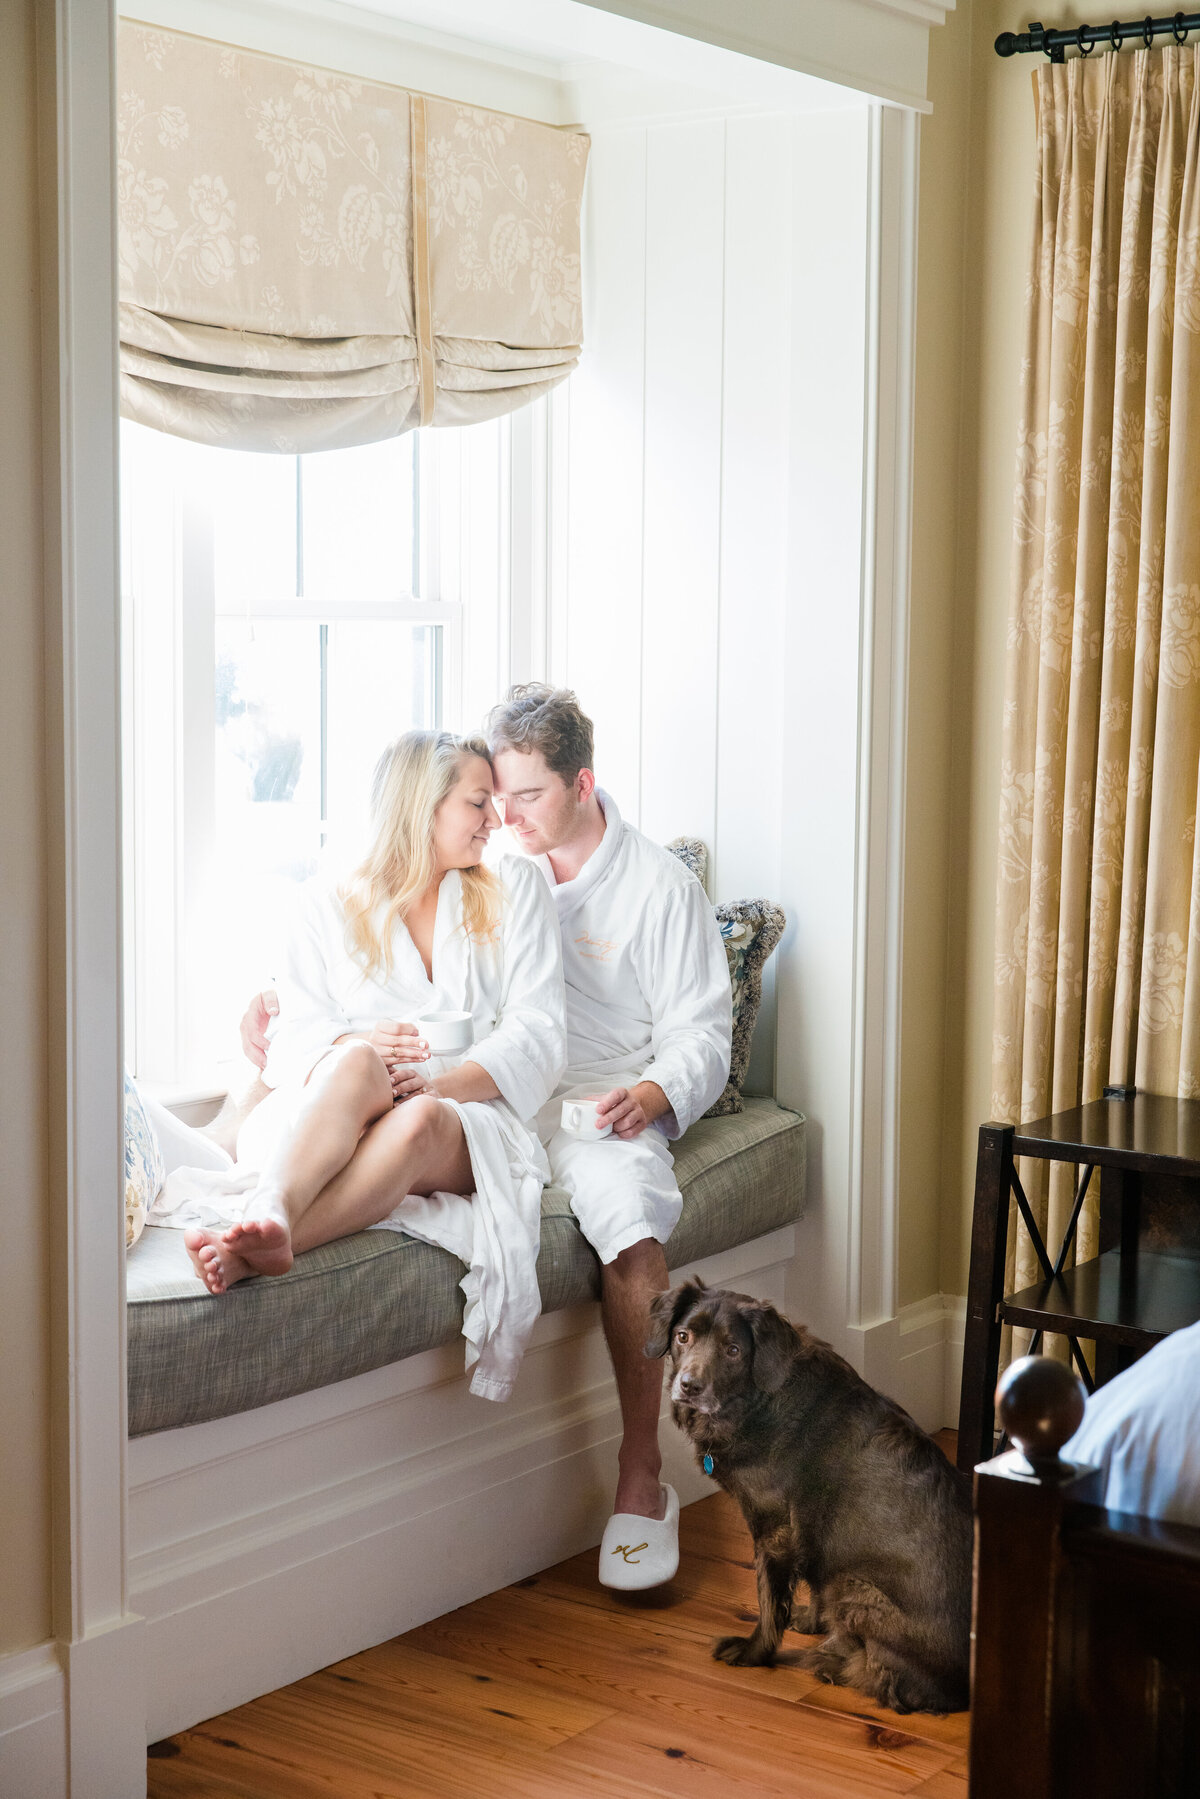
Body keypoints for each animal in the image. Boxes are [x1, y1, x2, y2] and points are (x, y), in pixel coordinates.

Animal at [647, 1280, 978, 1712]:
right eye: (683, 1336)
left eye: (732, 1350)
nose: (688, 1386)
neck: (760, 1400)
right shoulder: (813, 1534)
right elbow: (811, 1581)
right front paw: (811, 1621)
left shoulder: (775, 1530)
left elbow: (769, 1602)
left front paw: (754, 1653)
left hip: (853, 1586)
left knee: (894, 1686)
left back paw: (833, 1662)